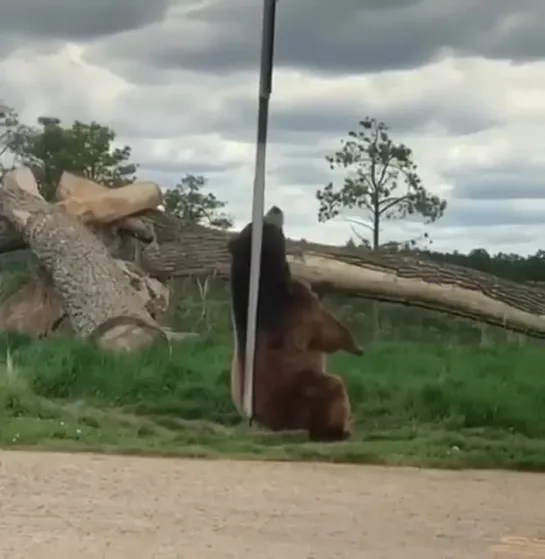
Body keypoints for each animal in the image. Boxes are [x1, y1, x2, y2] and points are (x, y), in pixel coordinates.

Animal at [227, 206, 364, 442]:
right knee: (333, 389)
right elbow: (325, 329)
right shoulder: (297, 307)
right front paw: (355, 345)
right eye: (266, 219)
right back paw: (336, 430)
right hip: (298, 393)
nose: (275, 208)